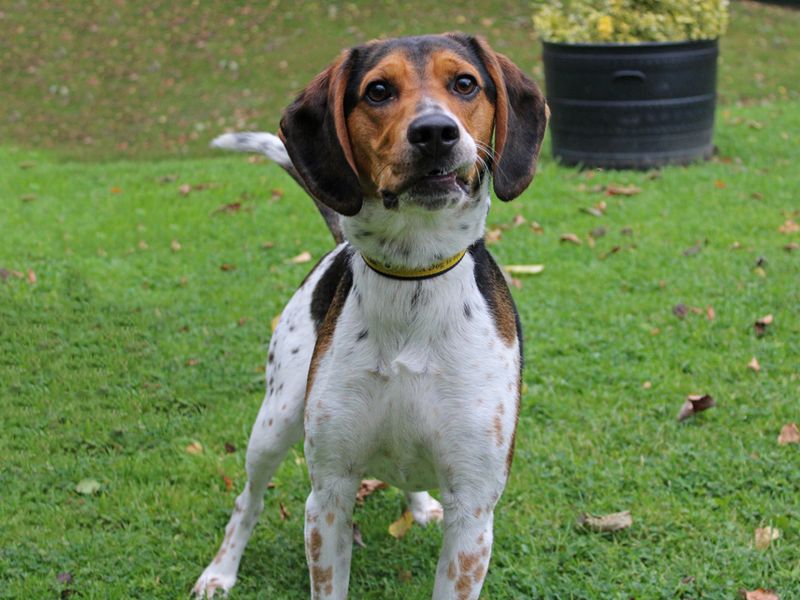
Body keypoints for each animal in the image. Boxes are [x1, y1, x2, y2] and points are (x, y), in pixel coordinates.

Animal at [192, 34, 552, 600]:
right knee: (247, 500)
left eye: (465, 83)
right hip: (274, 421)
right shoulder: (328, 497)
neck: (413, 279)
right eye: (378, 91)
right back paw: (220, 571)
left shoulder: (473, 514)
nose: (435, 132)